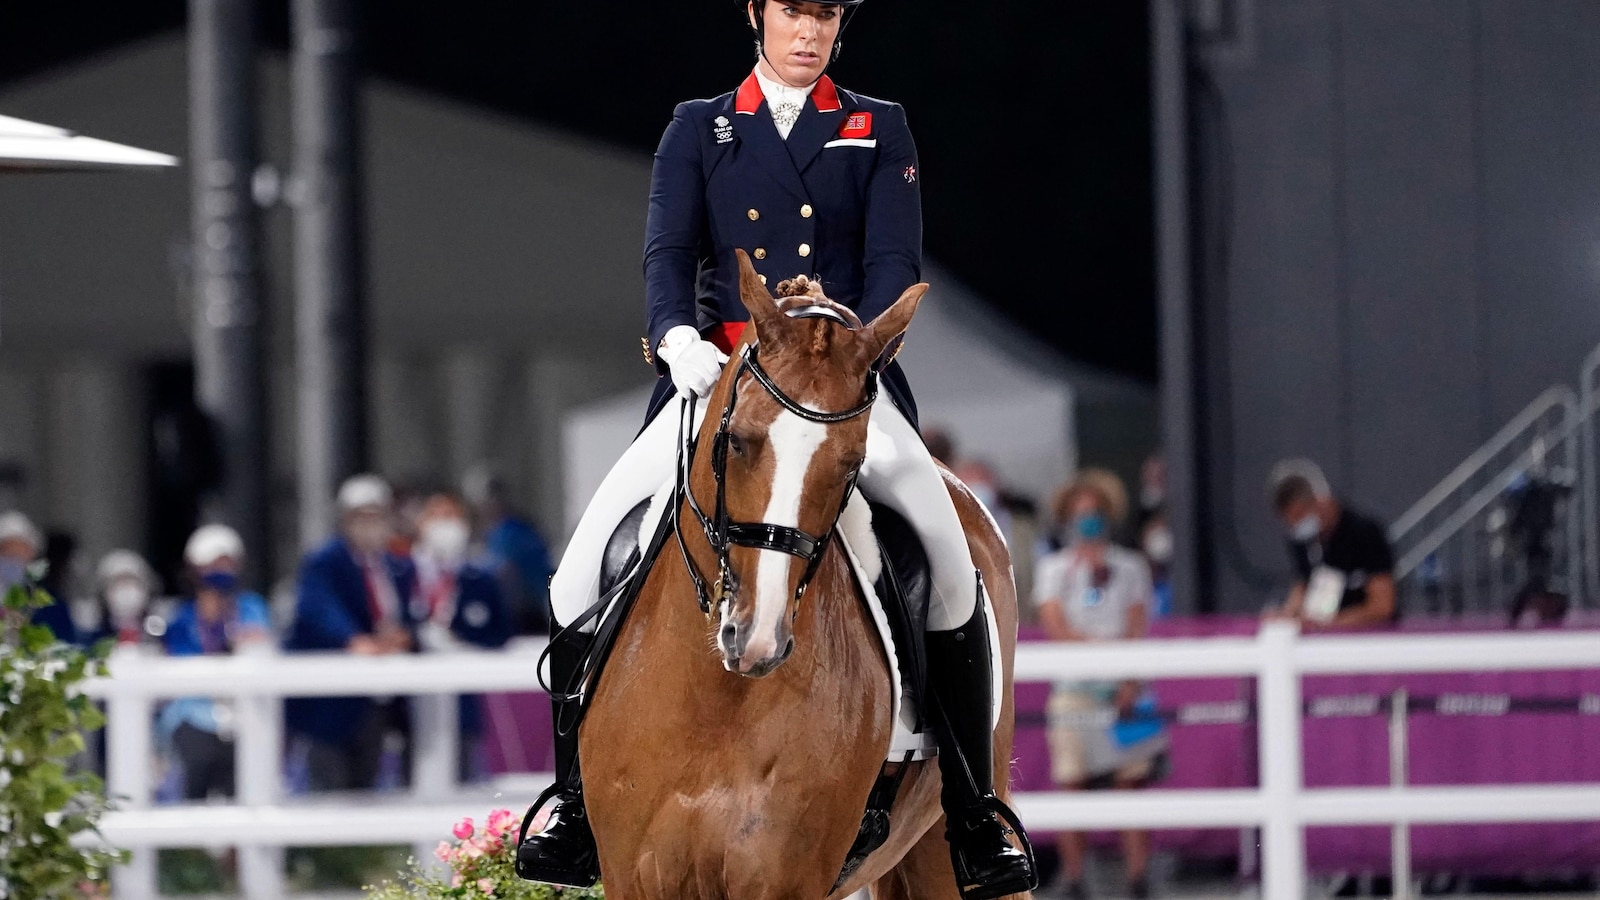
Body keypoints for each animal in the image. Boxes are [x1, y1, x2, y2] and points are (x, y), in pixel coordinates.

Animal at [582, 246, 1030, 896]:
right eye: (737, 442)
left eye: (852, 463)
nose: (757, 638)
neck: (716, 701)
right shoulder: (635, 877)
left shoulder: (783, 878)